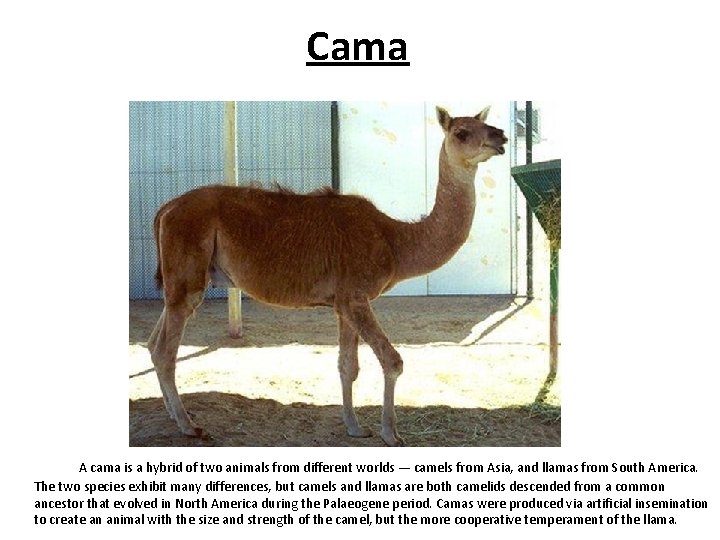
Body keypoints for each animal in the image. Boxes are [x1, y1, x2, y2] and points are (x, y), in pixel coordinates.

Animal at [147, 105, 507, 446]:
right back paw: (190, 427)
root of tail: (165, 210)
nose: (500, 136)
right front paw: (391, 435)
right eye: (462, 132)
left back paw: (174, 416)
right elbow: (392, 361)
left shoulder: (342, 303)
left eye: (484, 123)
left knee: (154, 343)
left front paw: (355, 428)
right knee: (165, 351)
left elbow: (347, 366)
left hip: (179, 282)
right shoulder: (356, 297)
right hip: (188, 276)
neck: (395, 240)